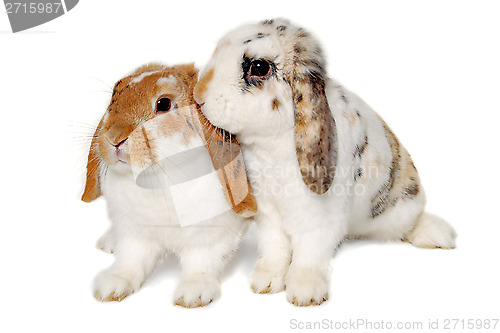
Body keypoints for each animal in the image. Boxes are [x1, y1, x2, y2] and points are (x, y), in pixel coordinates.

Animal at [194, 17, 458, 304]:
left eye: (259, 67)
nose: (199, 94)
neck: (271, 144)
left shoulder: (321, 217)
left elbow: (310, 252)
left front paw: (304, 293)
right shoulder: (269, 213)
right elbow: (274, 248)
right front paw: (265, 281)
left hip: (402, 206)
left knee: (411, 222)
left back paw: (437, 235)